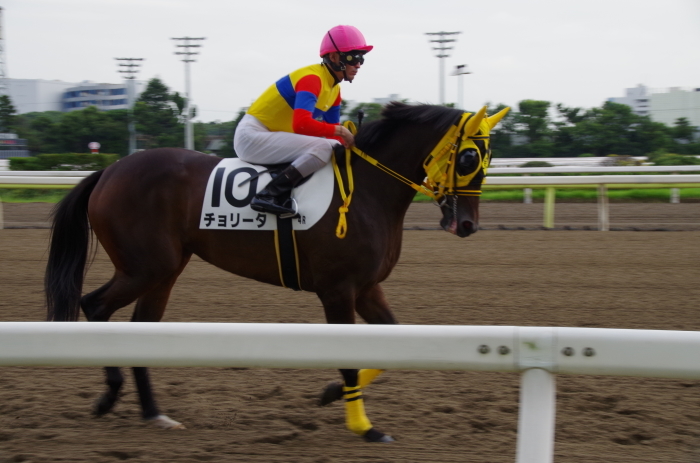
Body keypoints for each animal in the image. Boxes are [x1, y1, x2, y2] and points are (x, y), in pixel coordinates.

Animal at [43, 101, 508, 442]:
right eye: (469, 156)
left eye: (488, 156)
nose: (467, 224)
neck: (368, 192)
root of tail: (109, 170)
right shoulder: (338, 290)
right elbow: (349, 358)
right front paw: (364, 426)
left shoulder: (367, 289)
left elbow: (388, 346)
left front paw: (331, 395)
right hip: (144, 267)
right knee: (94, 305)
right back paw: (109, 396)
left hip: (165, 271)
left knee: (139, 330)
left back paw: (155, 414)